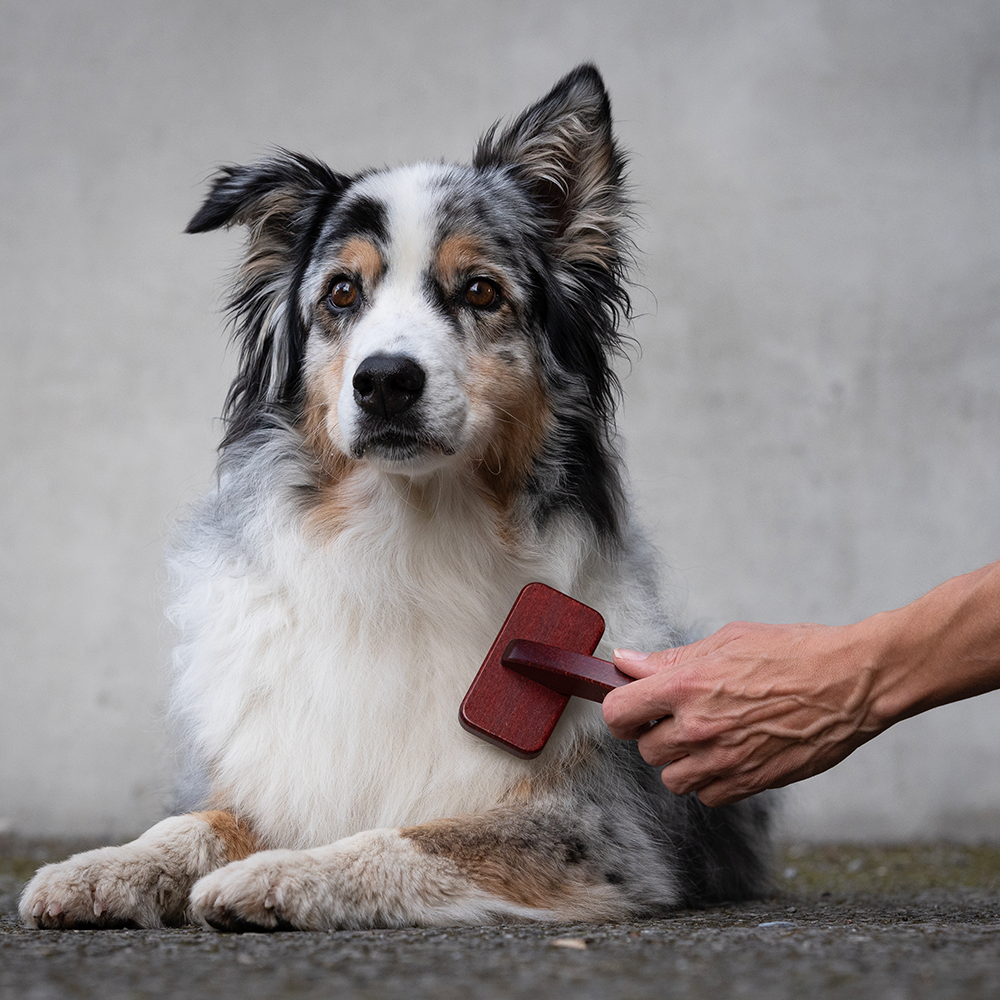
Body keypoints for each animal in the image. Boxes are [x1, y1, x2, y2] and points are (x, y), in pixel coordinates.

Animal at [19, 66, 768, 932]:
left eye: (480, 291)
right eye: (343, 292)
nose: (383, 381)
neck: (404, 540)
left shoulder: (596, 829)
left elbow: (405, 838)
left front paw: (276, 875)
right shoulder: (273, 774)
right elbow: (193, 823)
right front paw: (97, 868)